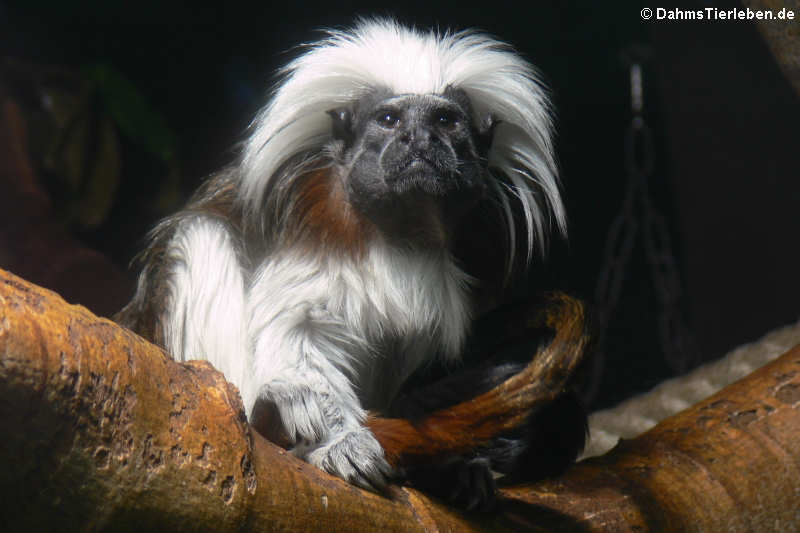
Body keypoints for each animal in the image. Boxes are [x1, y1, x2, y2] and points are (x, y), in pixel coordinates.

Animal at [115, 18, 584, 504]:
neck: (402, 231)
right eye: (390, 120)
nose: (418, 139)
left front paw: (456, 465)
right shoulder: (315, 214)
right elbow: (300, 329)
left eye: (445, 120)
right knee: (200, 235)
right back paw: (270, 419)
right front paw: (336, 441)